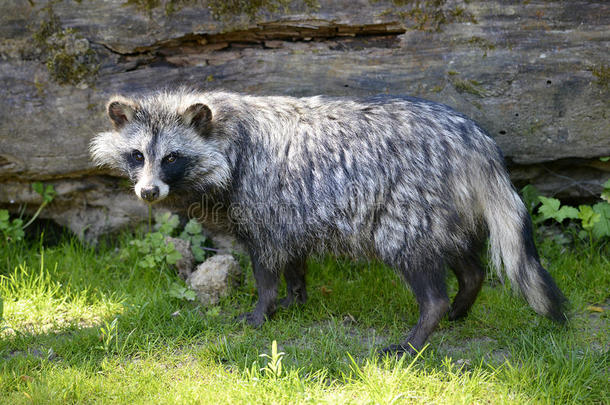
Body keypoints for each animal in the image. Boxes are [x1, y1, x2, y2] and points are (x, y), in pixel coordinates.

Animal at [90, 87, 564, 354]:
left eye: (171, 157)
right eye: (137, 155)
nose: (147, 192)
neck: (228, 132)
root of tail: (473, 139)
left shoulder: (263, 204)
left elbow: (267, 267)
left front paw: (262, 310)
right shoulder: (292, 211)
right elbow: (295, 261)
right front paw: (295, 298)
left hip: (409, 203)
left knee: (419, 266)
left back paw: (422, 331)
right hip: (447, 209)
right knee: (468, 263)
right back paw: (464, 302)